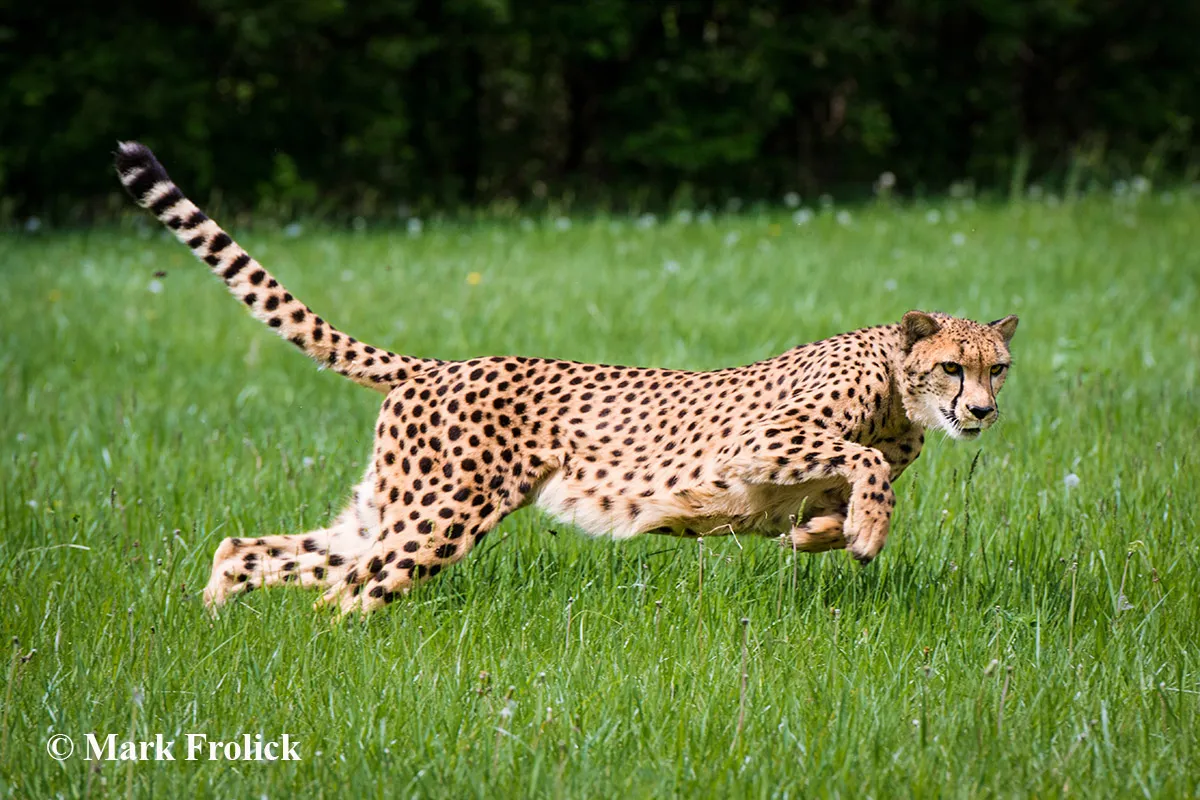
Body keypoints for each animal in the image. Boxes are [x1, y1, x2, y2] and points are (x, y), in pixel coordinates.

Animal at [114, 142, 1019, 616]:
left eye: (998, 369)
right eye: (952, 367)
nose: (981, 412)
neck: (898, 396)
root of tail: (442, 362)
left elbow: (829, 508)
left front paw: (831, 534)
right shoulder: (755, 442)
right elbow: (862, 467)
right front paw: (866, 531)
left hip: (391, 507)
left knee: (262, 551)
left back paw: (216, 617)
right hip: (442, 515)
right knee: (350, 592)